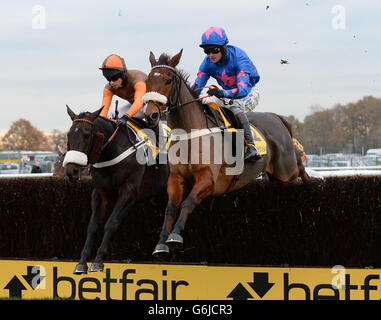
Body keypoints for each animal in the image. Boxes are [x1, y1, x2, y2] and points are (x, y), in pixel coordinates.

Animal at [63, 106, 168, 274]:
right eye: (69, 134)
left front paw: (98, 261)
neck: (112, 152)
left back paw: (163, 246)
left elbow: (111, 223)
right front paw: (82, 262)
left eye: (87, 135)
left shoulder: (129, 191)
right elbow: (92, 226)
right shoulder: (100, 192)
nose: (71, 172)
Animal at [142, 50, 308, 260]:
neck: (190, 134)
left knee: (299, 168)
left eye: (168, 80)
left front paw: (175, 236)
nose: (151, 115)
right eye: (147, 81)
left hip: (285, 170)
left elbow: (188, 202)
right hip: (276, 178)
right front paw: (161, 244)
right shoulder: (176, 178)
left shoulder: (208, 180)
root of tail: (277, 117)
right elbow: (170, 208)